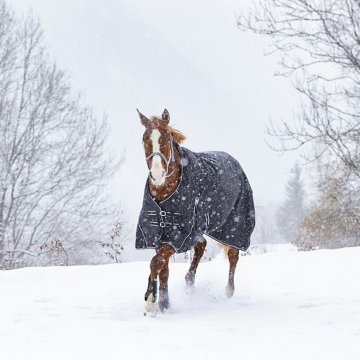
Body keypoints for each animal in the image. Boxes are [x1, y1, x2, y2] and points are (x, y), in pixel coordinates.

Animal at [136, 107, 256, 312]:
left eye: (167, 138)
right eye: (144, 138)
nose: (157, 174)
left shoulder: (179, 234)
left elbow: (156, 262)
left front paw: (151, 301)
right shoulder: (160, 232)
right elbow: (163, 268)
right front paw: (164, 304)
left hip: (233, 226)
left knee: (233, 256)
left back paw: (228, 292)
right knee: (201, 247)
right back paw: (189, 284)